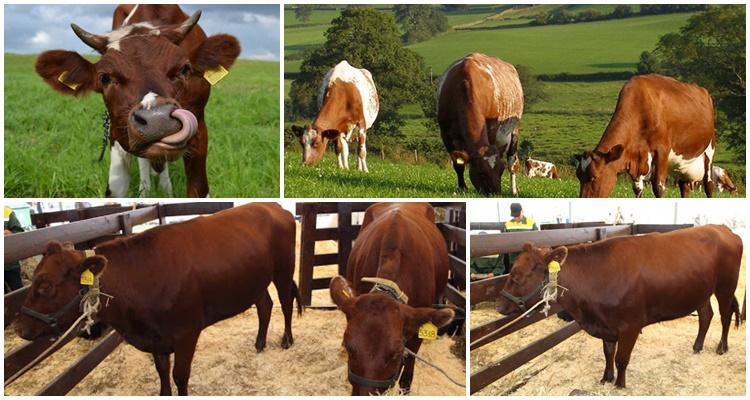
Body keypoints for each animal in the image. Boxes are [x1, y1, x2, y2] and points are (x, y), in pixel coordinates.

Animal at [15, 203, 301, 395]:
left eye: (46, 286)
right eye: (35, 279)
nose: (20, 328)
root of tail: (276, 207)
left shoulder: (187, 332)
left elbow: (180, 375)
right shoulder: (156, 338)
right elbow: (162, 371)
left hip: (283, 269)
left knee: (286, 303)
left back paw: (286, 340)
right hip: (254, 279)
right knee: (265, 305)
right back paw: (260, 343)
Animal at [34, 5, 240, 197]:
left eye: (184, 69)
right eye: (105, 78)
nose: (158, 119)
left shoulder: (199, 128)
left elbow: (198, 189)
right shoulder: (116, 132)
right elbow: (118, 187)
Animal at [437, 53, 524, 195]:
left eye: (501, 170)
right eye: (482, 173)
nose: (496, 194)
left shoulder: (493, 128)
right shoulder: (445, 133)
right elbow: (458, 164)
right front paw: (462, 187)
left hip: (514, 130)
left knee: (512, 163)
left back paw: (514, 191)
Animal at [496, 225, 743, 388]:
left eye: (517, 276)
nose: (499, 306)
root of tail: (724, 229)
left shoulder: (630, 326)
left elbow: (621, 358)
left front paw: (620, 384)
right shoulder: (607, 325)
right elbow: (608, 353)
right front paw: (606, 378)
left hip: (726, 285)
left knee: (725, 315)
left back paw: (722, 347)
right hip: (701, 290)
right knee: (706, 314)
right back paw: (697, 345)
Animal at [576, 74, 716, 198]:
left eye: (594, 177)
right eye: (578, 176)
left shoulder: (662, 150)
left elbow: (658, 187)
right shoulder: (638, 158)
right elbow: (637, 189)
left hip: (709, 149)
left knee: (708, 184)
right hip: (682, 163)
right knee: (684, 187)